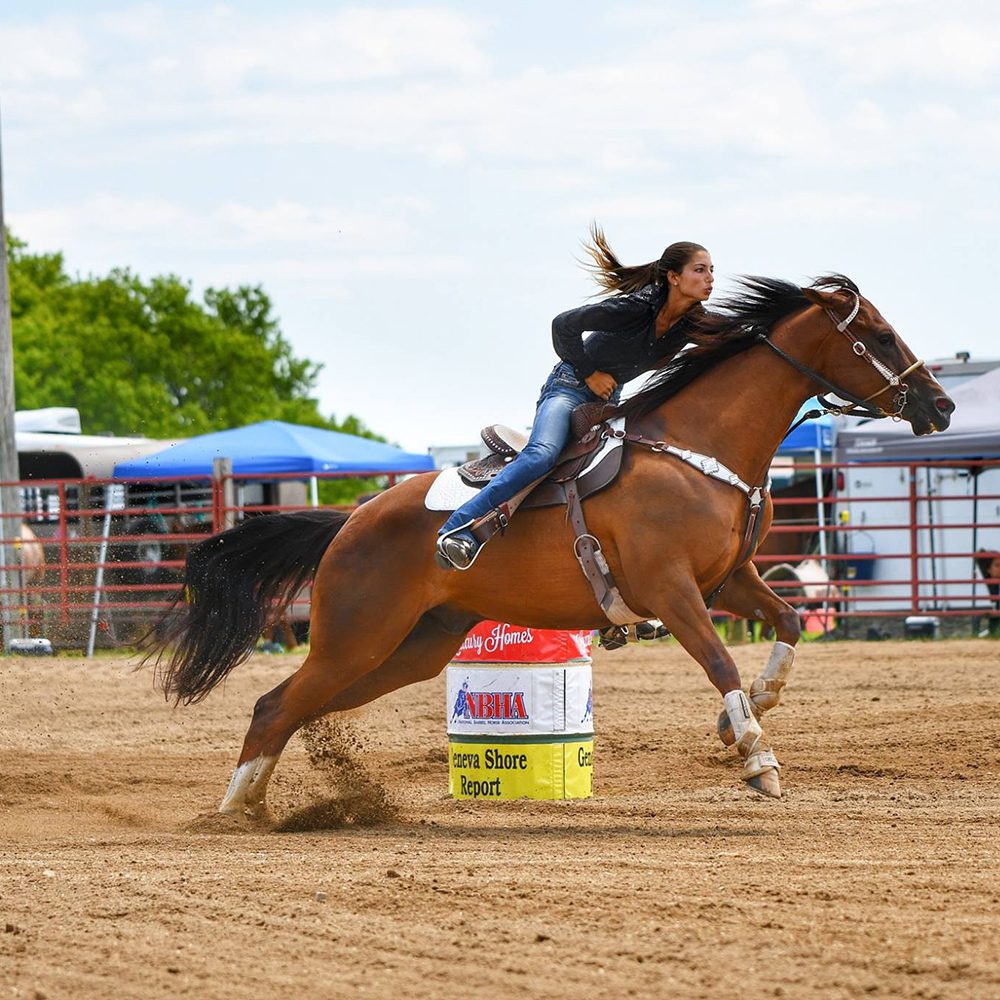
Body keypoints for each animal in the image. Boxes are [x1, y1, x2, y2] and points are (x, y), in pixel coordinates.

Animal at [146, 274, 952, 820]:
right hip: (355, 635)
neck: (698, 450)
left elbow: (786, 625)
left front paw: (743, 716)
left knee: (295, 707)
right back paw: (234, 809)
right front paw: (759, 759)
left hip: (409, 647)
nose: (940, 405)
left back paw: (262, 803)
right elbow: (720, 659)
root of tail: (348, 521)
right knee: (273, 705)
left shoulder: (731, 580)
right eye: (880, 336)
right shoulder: (673, 591)